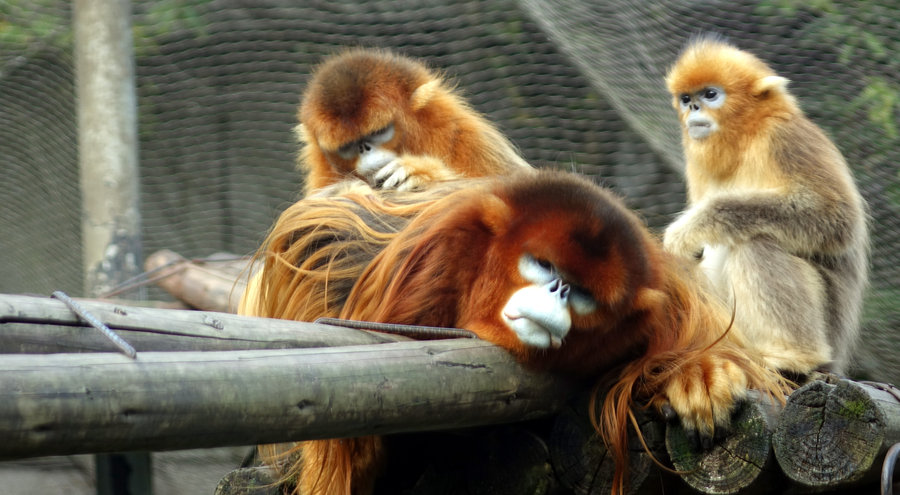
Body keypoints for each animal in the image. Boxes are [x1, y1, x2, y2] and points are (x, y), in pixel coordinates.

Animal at [664, 35, 868, 376]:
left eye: (710, 95)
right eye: (685, 98)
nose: (693, 106)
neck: (745, 137)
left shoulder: (784, 137)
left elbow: (835, 216)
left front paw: (688, 229)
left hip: (830, 324)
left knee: (756, 245)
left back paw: (794, 356)